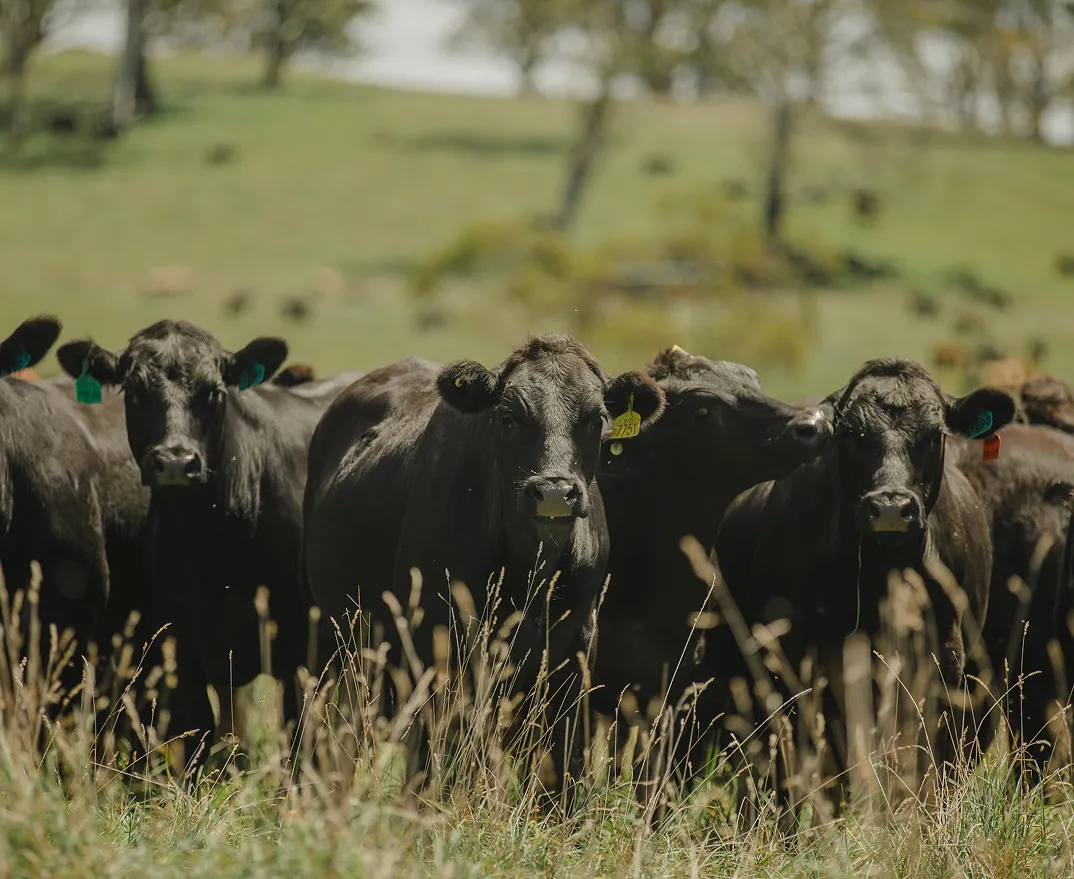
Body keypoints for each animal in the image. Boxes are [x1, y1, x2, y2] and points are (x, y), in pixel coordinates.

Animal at [57, 320, 358, 766]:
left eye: (215, 392)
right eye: (133, 391)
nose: (176, 462)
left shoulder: (300, 653)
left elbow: (298, 742)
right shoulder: (184, 649)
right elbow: (197, 739)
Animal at [302, 335, 665, 797]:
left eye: (596, 418)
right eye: (508, 417)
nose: (554, 492)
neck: (529, 574)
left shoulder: (576, 653)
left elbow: (563, 769)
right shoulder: (438, 652)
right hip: (338, 647)